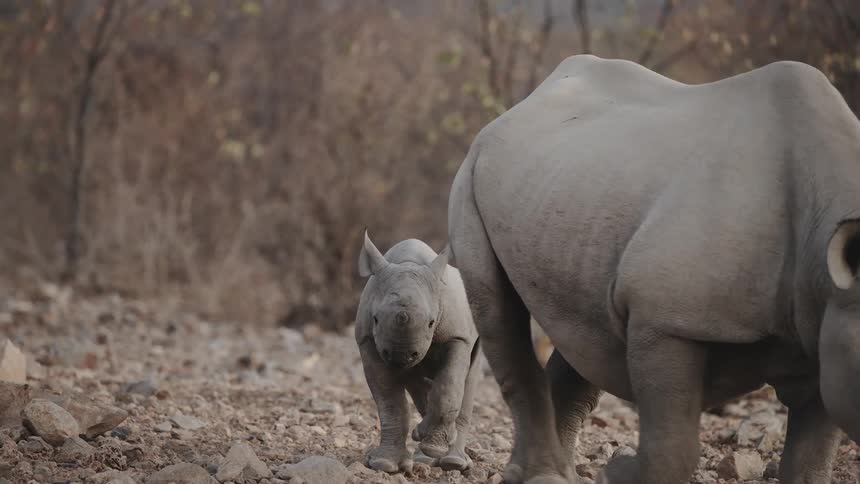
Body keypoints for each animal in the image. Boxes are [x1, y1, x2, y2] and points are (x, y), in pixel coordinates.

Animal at [355, 232, 481, 473]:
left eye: (431, 323)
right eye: (375, 319)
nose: (400, 357)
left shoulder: (458, 336)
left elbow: (449, 387)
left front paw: (435, 448)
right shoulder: (367, 340)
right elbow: (390, 401)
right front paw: (384, 464)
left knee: (467, 378)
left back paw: (452, 461)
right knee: (418, 382)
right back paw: (426, 449)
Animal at [447, 54, 860, 484]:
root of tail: (519, 106)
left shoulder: (820, 330)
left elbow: (811, 458)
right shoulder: (666, 321)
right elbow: (672, 448)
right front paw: (616, 472)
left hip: (569, 188)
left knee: (582, 332)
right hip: (474, 173)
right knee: (498, 310)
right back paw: (543, 476)